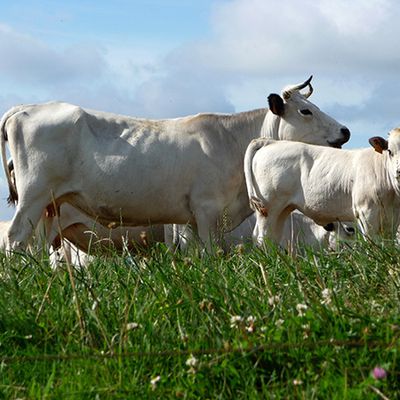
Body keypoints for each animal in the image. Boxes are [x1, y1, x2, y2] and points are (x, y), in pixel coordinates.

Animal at [0, 76, 350, 250]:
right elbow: (209, 254)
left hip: (50, 207)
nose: (345, 131)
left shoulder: (190, 219)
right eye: (306, 111)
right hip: (34, 195)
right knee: (15, 238)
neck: (231, 141)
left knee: (34, 244)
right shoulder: (207, 210)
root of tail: (23, 108)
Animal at [245, 130, 400, 245]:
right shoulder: (366, 212)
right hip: (269, 207)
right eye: (390, 151)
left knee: (273, 237)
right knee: (263, 238)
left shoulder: (392, 218)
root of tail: (271, 142)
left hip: (283, 209)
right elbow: (373, 242)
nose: (399, 171)